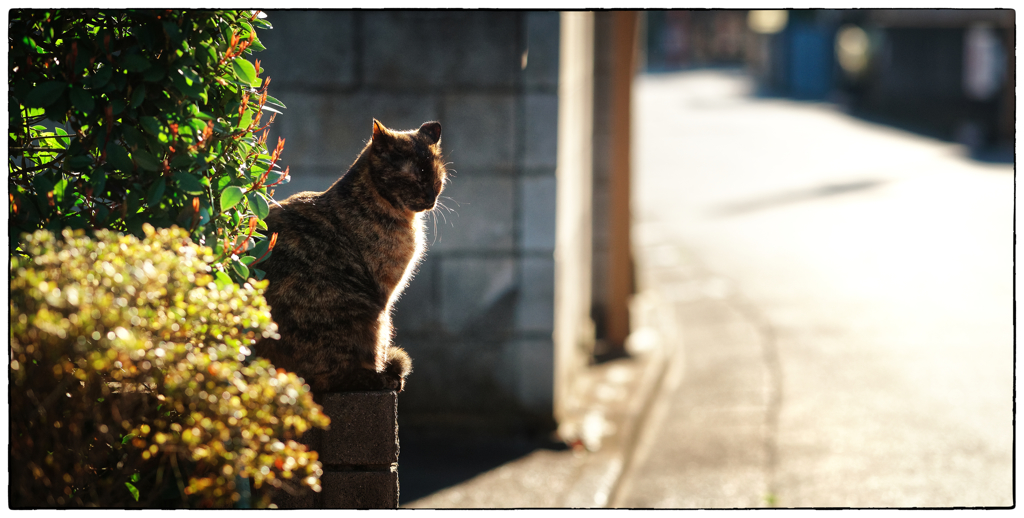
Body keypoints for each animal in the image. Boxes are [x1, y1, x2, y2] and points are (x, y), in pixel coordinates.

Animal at [251, 118, 444, 393]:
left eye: (438, 178)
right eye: (417, 177)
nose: (431, 198)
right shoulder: (385, 298)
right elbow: (380, 347)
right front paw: (383, 371)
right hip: (365, 313)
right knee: (332, 377)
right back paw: (382, 378)